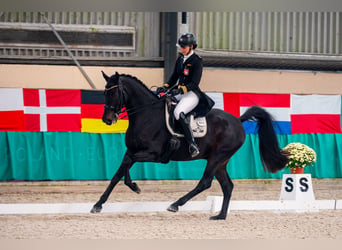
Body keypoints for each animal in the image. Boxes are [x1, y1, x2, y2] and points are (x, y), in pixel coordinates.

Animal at [91, 71, 288, 220]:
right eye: (104, 93)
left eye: (114, 93)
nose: (107, 119)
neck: (145, 115)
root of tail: (238, 121)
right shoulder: (131, 151)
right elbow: (118, 173)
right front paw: (99, 204)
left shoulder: (153, 154)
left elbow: (125, 167)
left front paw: (133, 187)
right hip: (220, 162)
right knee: (227, 186)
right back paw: (220, 216)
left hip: (217, 157)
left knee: (205, 182)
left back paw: (175, 205)